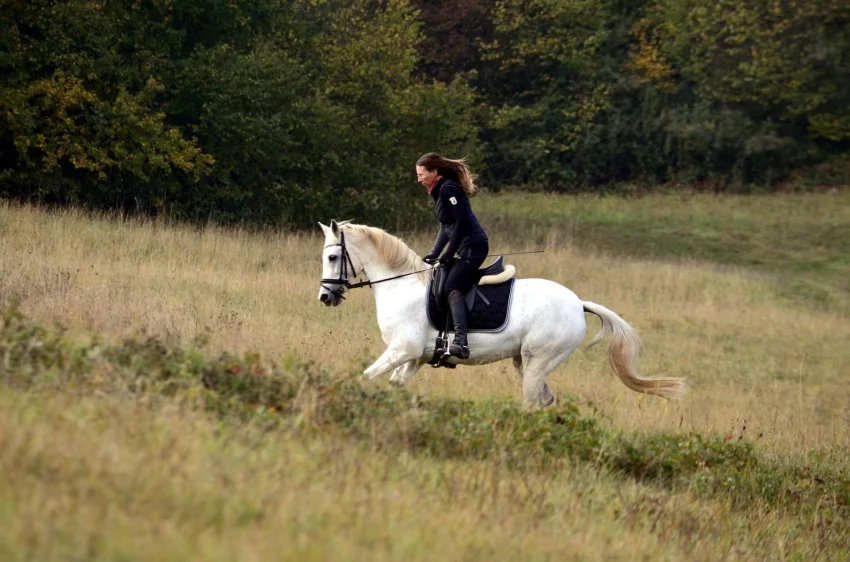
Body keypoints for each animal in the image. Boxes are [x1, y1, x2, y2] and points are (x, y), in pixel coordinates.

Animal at [316, 219, 684, 406]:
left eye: (333, 257)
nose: (325, 296)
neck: (402, 285)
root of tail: (578, 303)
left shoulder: (402, 350)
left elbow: (366, 376)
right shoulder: (415, 357)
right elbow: (394, 385)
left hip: (538, 361)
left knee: (533, 401)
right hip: (526, 362)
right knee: (544, 400)